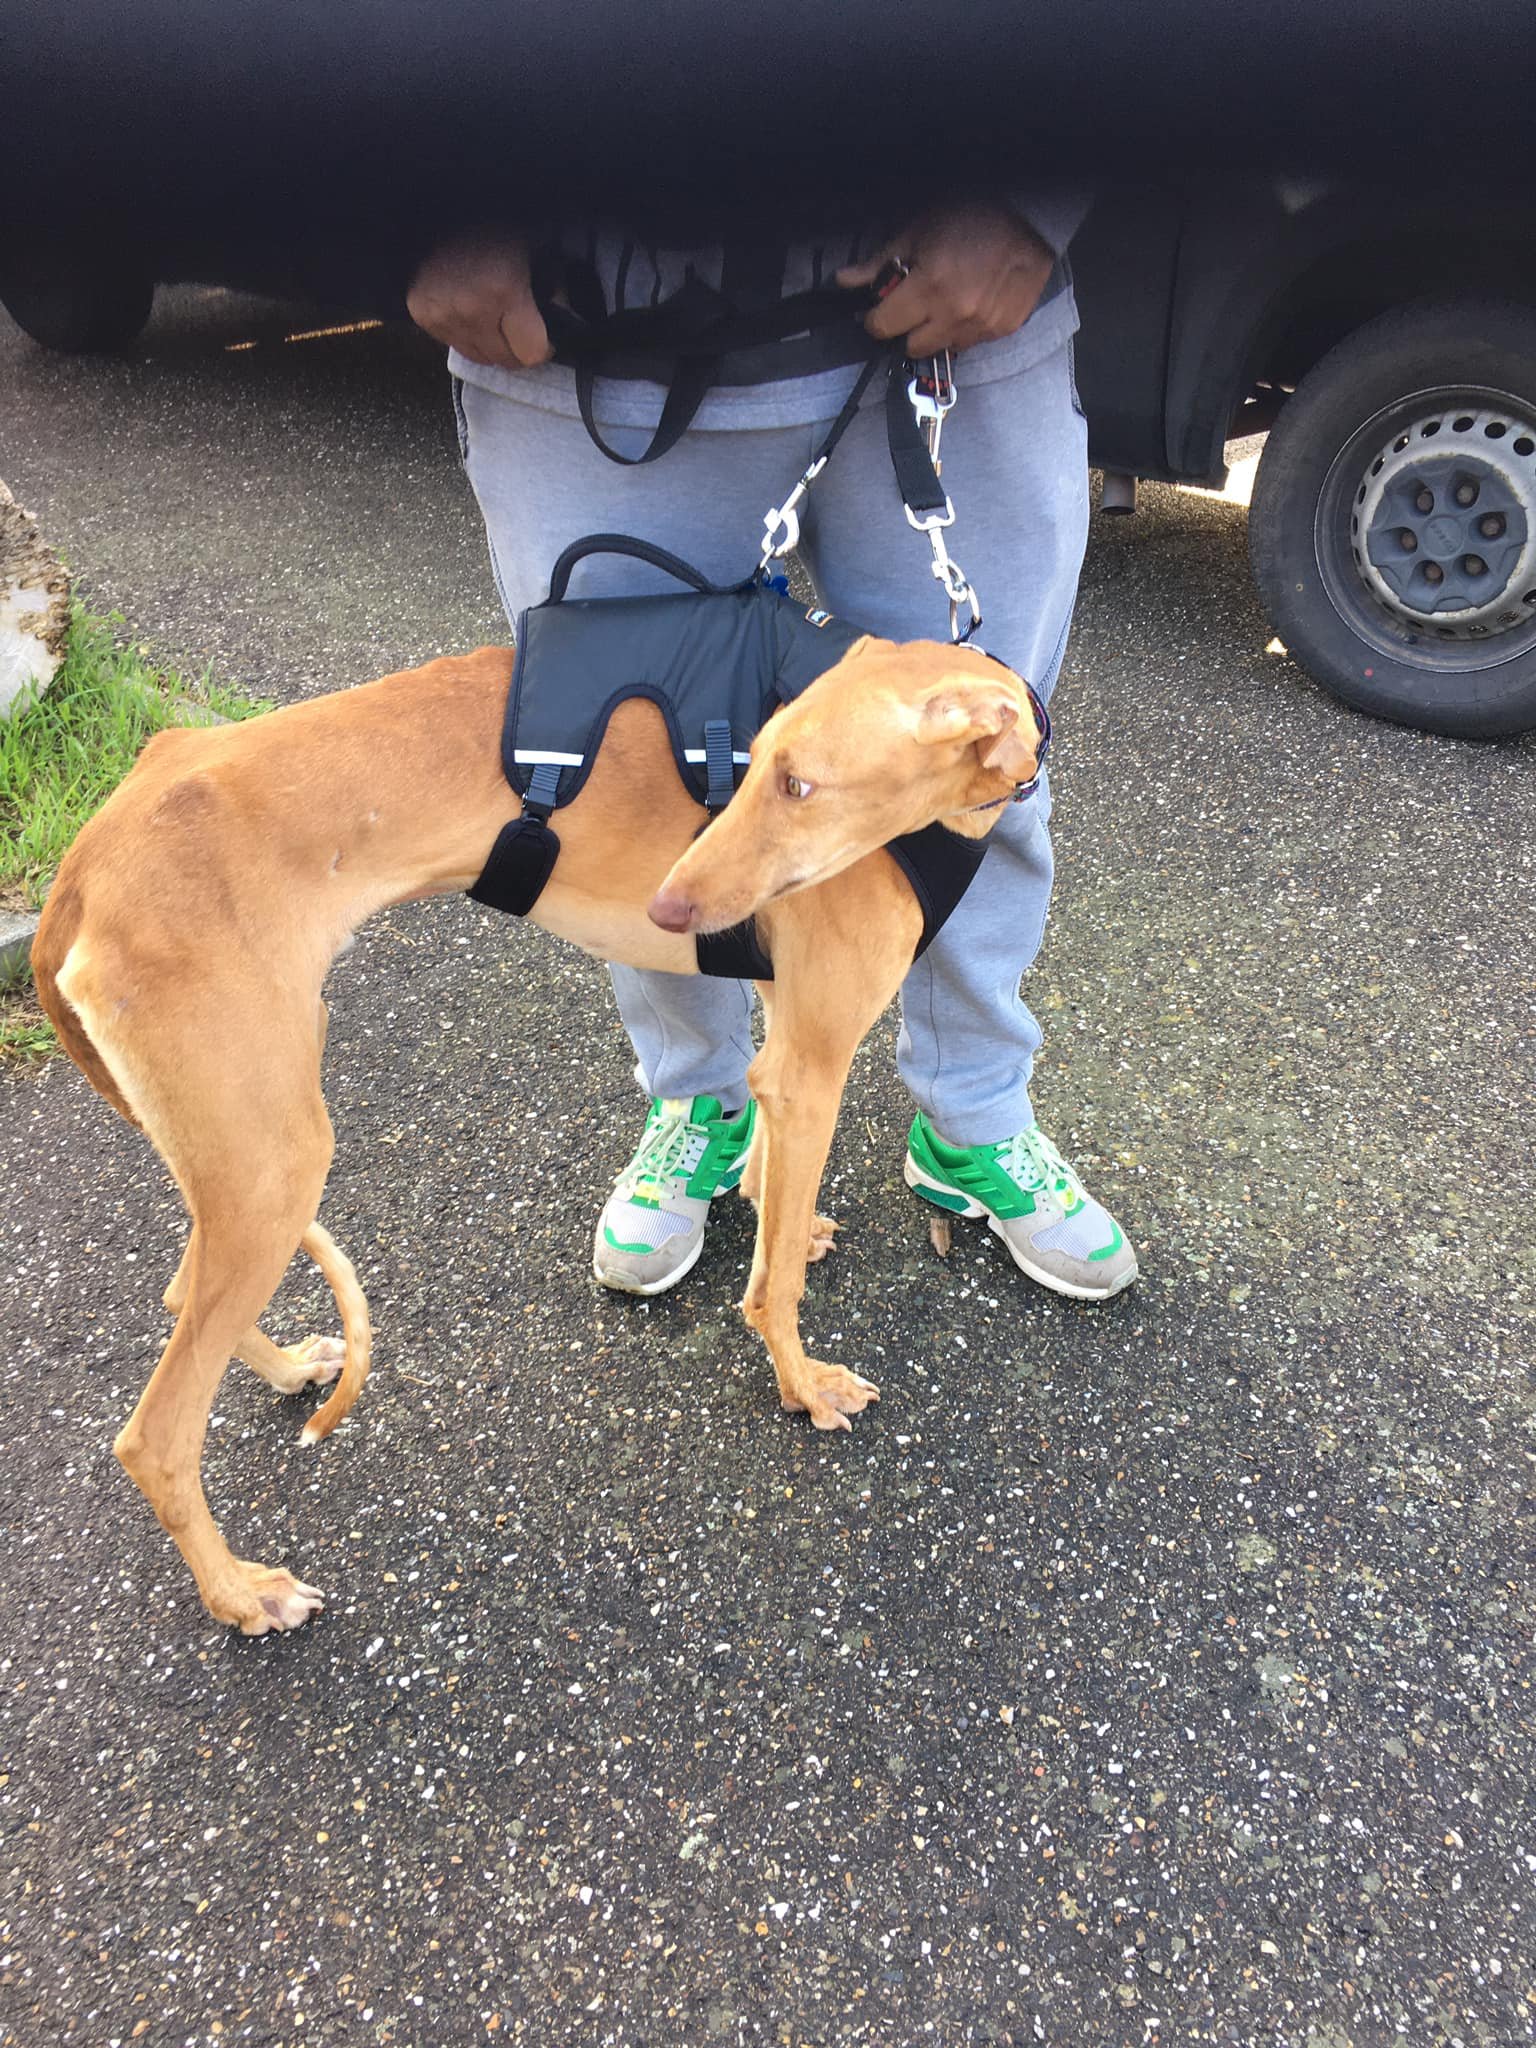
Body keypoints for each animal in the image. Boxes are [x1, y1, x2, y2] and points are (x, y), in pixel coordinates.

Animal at [31, 633, 1044, 1633]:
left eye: (796, 784)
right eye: (759, 765)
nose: (668, 909)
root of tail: (83, 866)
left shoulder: (784, 1042)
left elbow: (771, 1190)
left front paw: (773, 1215)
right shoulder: (813, 1068)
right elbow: (775, 1286)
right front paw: (801, 1385)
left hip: (249, 1151)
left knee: (177, 1294)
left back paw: (286, 1372)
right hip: (275, 1164)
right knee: (153, 1436)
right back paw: (241, 1594)